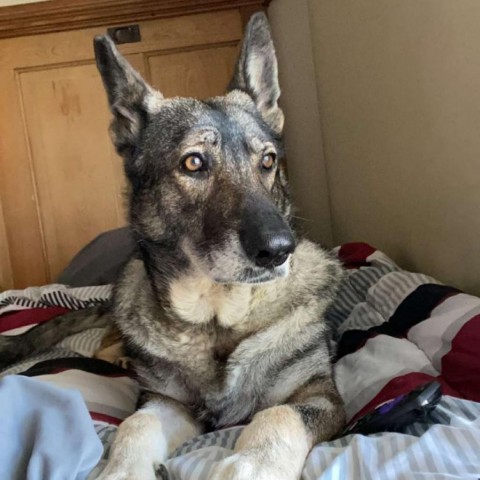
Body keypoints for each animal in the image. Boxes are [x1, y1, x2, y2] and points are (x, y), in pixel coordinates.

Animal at [0, 12, 346, 480]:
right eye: (193, 162)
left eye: (268, 161)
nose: (278, 250)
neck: (218, 323)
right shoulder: (165, 402)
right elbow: (135, 425)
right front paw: (123, 470)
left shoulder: (318, 394)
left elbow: (278, 416)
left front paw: (251, 465)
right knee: (111, 337)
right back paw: (121, 356)